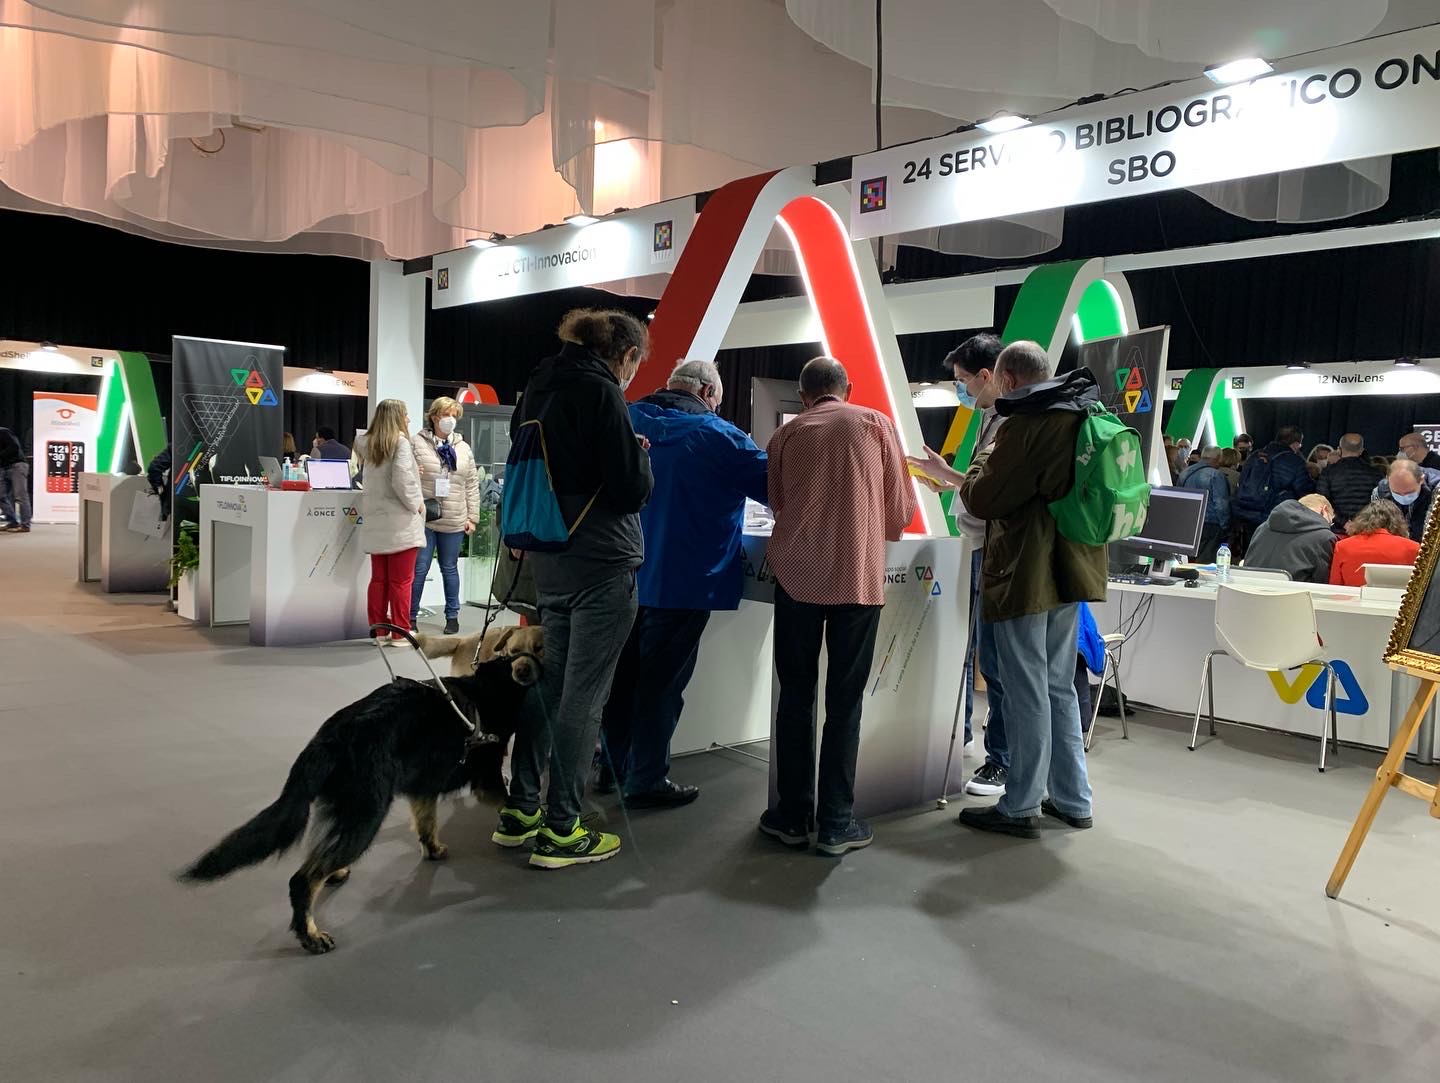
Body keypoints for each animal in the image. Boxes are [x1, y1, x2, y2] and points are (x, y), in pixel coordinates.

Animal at [181, 656, 535, 950]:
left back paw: (333, 875)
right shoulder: (487, 781)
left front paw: (433, 849)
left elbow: (427, 822)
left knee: (322, 853)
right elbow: (511, 800)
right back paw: (310, 934)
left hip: (349, 810)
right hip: (367, 816)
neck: (487, 690)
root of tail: (331, 738)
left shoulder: (423, 788)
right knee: (303, 878)